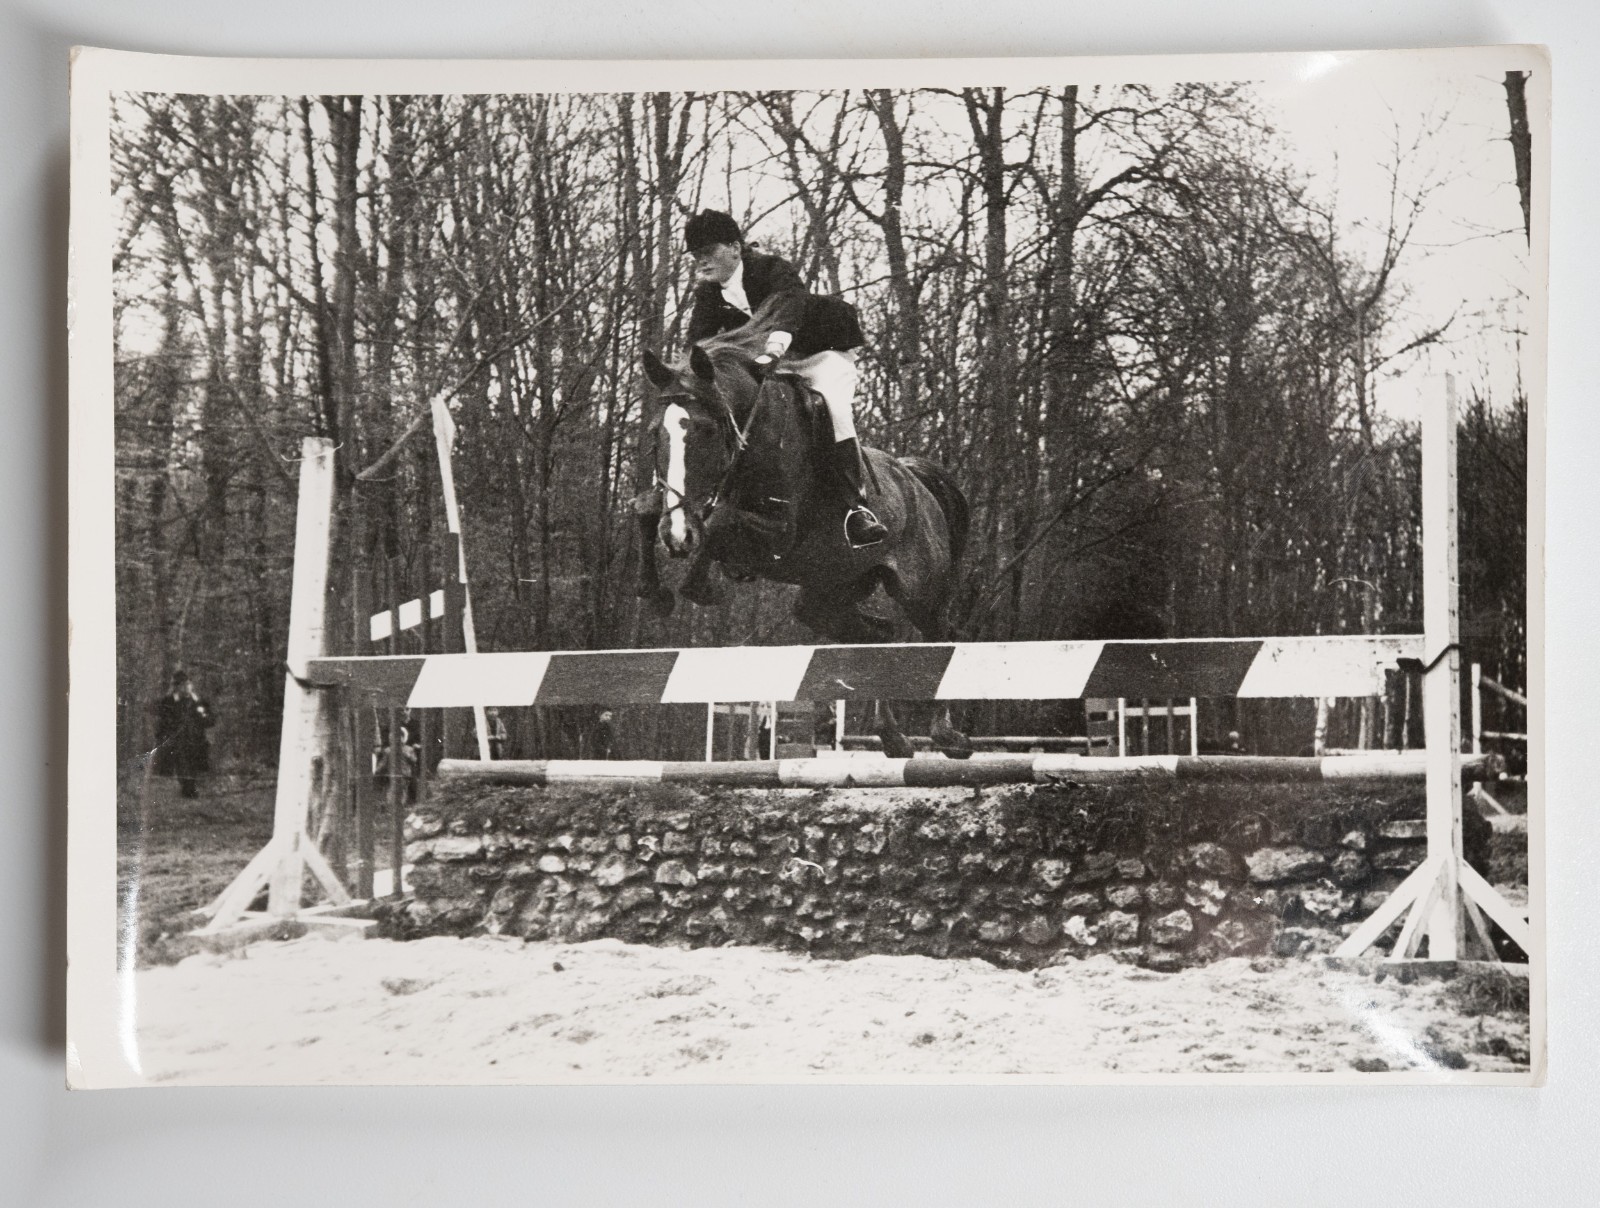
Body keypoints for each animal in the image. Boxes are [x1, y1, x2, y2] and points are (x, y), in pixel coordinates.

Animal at [634, 309, 972, 754]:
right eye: (657, 433)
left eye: (706, 430)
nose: (676, 536)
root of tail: (914, 478)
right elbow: (644, 509)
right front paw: (654, 592)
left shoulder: (780, 534)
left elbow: (719, 520)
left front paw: (700, 586)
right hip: (826, 594)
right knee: (876, 636)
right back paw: (893, 736)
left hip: (921, 591)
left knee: (943, 636)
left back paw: (947, 734)